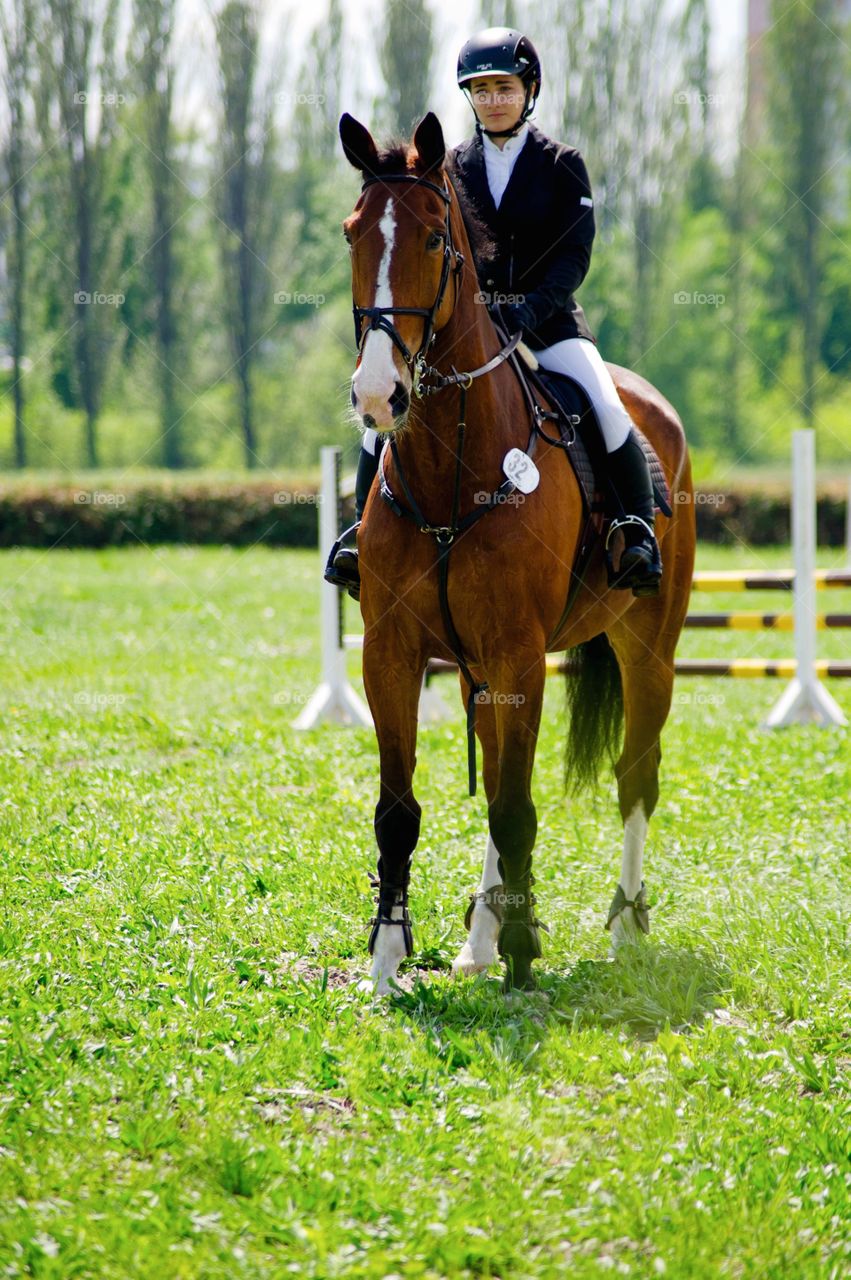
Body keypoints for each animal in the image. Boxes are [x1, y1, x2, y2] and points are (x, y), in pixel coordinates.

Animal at [337, 112, 696, 988]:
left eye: (435, 238)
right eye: (353, 233)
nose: (378, 395)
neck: (450, 473)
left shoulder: (518, 652)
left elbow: (514, 806)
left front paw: (526, 954)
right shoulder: (392, 652)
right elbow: (399, 810)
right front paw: (387, 959)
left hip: (648, 646)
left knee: (633, 776)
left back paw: (622, 924)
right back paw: (480, 937)